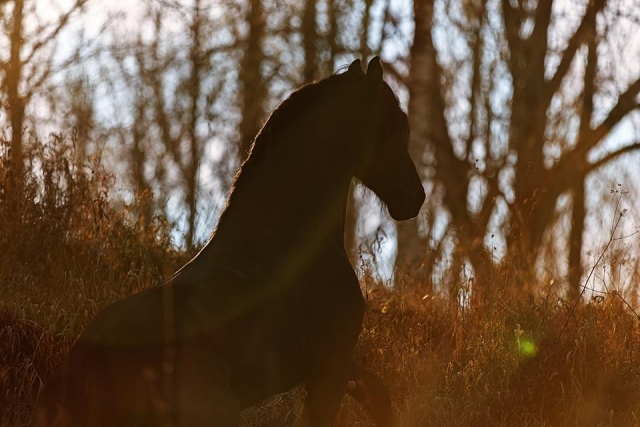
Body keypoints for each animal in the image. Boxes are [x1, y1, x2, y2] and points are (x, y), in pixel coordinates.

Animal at [32, 56, 425, 427]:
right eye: (398, 123)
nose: (416, 196)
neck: (293, 238)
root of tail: (86, 361)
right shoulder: (330, 365)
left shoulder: (335, 364)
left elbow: (377, 394)